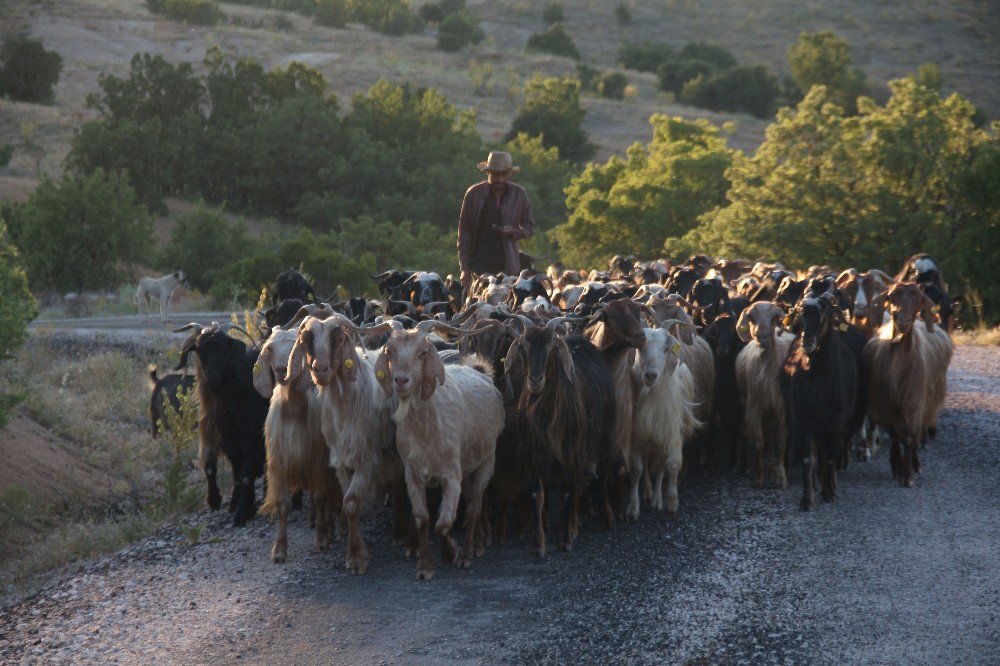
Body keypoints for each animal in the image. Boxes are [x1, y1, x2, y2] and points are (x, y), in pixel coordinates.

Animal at [175, 322, 270, 524]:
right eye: (200, 349)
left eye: (224, 349)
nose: (212, 376)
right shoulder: (228, 441)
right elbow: (234, 472)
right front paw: (233, 503)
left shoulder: (252, 438)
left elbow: (246, 474)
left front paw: (241, 513)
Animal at [374, 320, 504, 580]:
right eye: (389, 351)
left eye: (423, 352)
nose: (400, 380)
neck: (428, 429)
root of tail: (480, 372)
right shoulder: (413, 475)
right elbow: (423, 519)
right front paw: (425, 566)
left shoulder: (451, 475)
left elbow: (443, 524)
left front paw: (451, 551)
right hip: (468, 466)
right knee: (474, 500)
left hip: (487, 461)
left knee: (474, 506)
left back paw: (468, 553)